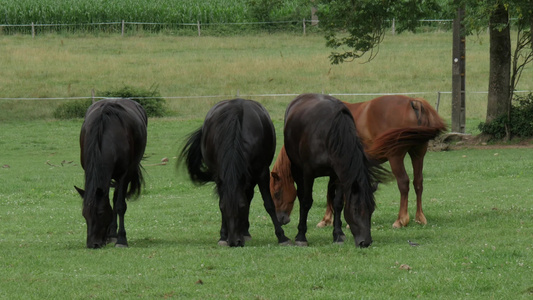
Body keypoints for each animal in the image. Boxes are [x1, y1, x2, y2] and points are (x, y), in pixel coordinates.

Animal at [74, 98, 147, 248]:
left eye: (100, 213)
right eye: (84, 214)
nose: (93, 244)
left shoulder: (125, 175)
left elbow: (120, 206)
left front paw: (121, 239)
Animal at [179, 99, 288, 247]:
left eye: (241, 207)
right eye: (224, 209)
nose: (234, 242)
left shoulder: (262, 172)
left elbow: (269, 204)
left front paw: (282, 236)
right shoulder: (219, 176)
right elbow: (221, 201)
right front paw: (222, 236)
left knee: (250, 196)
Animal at [270, 95, 444, 229]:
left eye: (277, 193)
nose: (281, 219)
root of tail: (413, 102)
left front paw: (329, 220)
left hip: (395, 157)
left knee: (403, 183)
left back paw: (401, 220)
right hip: (418, 155)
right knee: (418, 182)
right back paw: (419, 217)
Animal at [282, 94, 386, 248]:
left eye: (371, 210)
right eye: (356, 210)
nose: (365, 242)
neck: (330, 135)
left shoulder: (339, 175)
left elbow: (338, 203)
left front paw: (338, 235)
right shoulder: (308, 173)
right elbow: (306, 201)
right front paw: (301, 236)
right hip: (296, 168)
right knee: (301, 196)